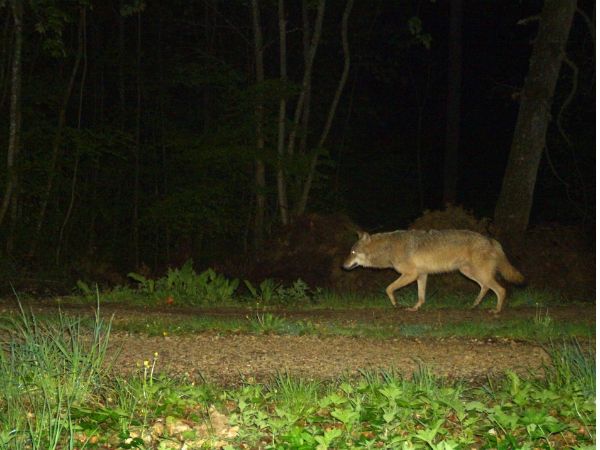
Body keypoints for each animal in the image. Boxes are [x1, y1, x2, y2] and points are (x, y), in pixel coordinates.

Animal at [342, 229, 524, 312]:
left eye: (352, 252)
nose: (343, 266)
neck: (388, 248)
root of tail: (491, 239)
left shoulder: (411, 274)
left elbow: (388, 289)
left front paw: (395, 304)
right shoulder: (422, 275)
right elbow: (421, 296)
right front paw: (415, 308)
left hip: (477, 273)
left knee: (501, 289)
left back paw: (496, 310)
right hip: (468, 272)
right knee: (485, 287)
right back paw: (474, 305)